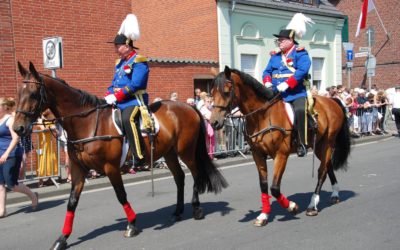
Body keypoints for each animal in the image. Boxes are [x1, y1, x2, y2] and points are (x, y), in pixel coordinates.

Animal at [14, 61, 227, 249]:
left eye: (33, 94)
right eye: (18, 94)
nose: (18, 128)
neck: (87, 122)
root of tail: (188, 106)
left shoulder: (110, 167)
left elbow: (121, 194)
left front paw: (132, 224)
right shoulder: (78, 170)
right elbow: (72, 202)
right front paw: (62, 239)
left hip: (186, 151)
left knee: (196, 174)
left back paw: (196, 209)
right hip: (169, 153)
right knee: (180, 177)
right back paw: (177, 212)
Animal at [209, 66, 350, 227]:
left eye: (226, 91)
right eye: (212, 92)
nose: (214, 122)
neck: (262, 116)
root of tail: (332, 100)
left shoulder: (281, 154)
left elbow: (275, 188)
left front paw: (292, 206)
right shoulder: (258, 154)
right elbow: (264, 185)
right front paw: (263, 215)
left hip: (327, 143)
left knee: (322, 171)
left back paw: (312, 205)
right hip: (319, 146)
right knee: (328, 166)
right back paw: (335, 194)